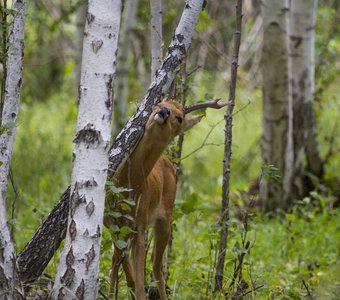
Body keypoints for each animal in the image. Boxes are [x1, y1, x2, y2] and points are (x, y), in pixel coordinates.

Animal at [104, 97, 226, 298]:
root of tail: (168, 161)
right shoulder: (112, 224)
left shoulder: (140, 224)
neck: (125, 186)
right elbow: (122, 268)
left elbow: (138, 283)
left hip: (165, 218)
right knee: (124, 261)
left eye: (179, 117)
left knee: (156, 267)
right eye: (158, 105)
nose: (164, 112)